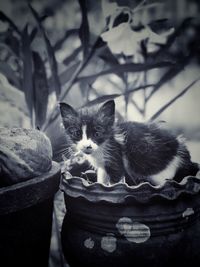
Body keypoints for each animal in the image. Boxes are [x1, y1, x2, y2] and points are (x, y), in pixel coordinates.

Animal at [59, 99, 198, 185]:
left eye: (97, 134)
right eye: (77, 134)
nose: (87, 146)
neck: (102, 147)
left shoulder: (115, 156)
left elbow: (114, 182)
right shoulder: (103, 166)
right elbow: (102, 178)